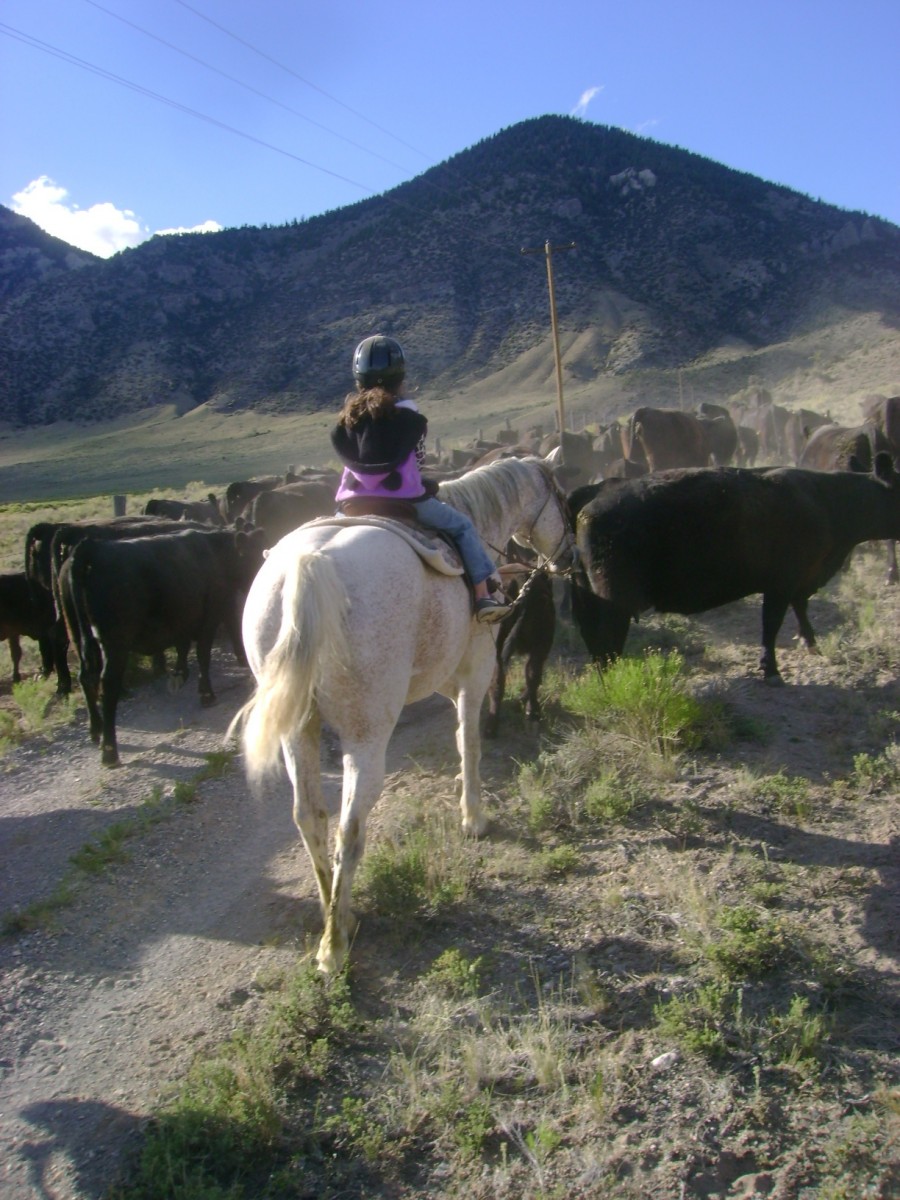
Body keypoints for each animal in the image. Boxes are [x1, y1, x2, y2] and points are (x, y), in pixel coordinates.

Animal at [57, 528, 264, 768]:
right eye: (256, 556)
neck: (216, 551)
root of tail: (91, 547)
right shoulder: (209, 617)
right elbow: (203, 654)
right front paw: (207, 694)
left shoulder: (184, 620)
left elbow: (184, 647)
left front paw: (179, 676)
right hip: (115, 643)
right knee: (107, 685)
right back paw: (110, 751)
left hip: (76, 632)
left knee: (86, 677)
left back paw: (96, 729)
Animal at [236, 451, 573, 974]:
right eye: (560, 496)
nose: (570, 557)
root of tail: (309, 567)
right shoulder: (475, 670)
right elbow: (470, 740)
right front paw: (473, 817)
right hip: (366, 734)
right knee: (350, 825)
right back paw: (334, 946)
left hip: (299, 731)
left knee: (310, 816)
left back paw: (340, 916)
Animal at [571, 456, 900, 686]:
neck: (824, 499)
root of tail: (598, 489)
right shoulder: (781, 583)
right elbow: (771, 624)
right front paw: (771, 670)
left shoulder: (802, 578)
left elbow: (801, 608)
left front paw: (810, 643)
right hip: (614, 601)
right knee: (606, 642)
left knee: (592, 637)